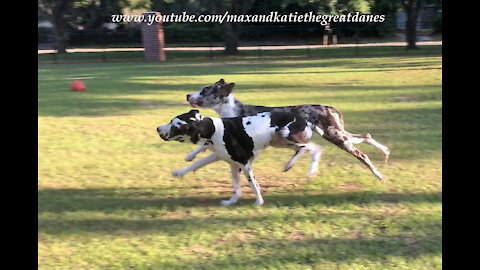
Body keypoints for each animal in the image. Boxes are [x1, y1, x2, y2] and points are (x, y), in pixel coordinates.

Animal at [157, 109, 316, 205]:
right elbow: (197, 164)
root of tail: (303, 118)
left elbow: (253, 184)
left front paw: (259, 202)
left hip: (287, 136)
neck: (213, 130)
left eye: (175, 126)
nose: (158, 128)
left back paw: (303, 167)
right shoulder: (227, 161)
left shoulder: (244, 164)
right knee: (309, 148)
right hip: (280, 142)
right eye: (171, 121)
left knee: (312, 148)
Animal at [178, 79, 388, 182]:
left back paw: (378, 175)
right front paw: (189, 157)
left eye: (204, 91)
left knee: (361, 154)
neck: (230, 110)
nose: (187, 94)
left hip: (335, 136)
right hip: (336, 134)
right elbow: (202, 147)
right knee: (365, 136)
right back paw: (385, 152)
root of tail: (330, 107)